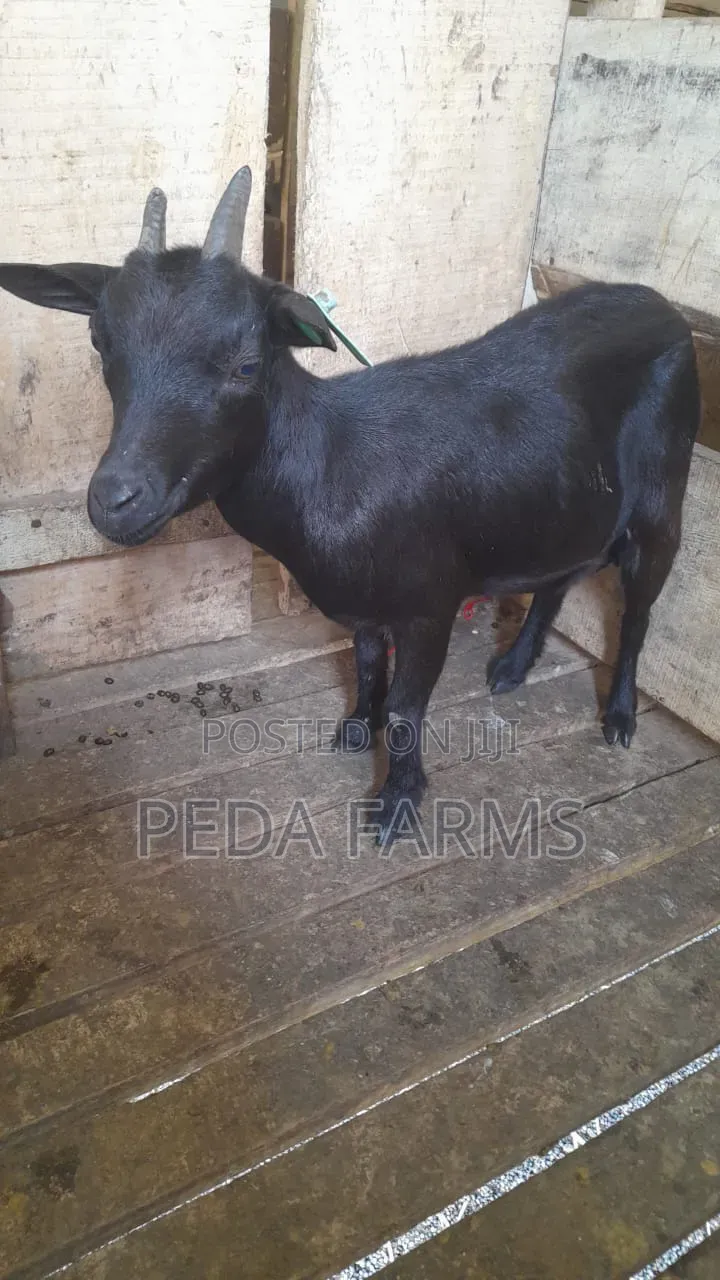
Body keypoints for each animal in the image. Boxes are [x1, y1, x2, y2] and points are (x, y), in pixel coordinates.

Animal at [0, 168, 700, 841]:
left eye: (246, 364)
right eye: (100, 343)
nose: (114, 500)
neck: (329, 463)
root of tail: (663, 305)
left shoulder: (429, 601)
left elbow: (409, 707)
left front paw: (397, 802)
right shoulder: (365, 602)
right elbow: (365, 667)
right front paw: (360, 727)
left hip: (664, 495)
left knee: (639, 609)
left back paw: (618, 715)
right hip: (568, 504)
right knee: (560, 575)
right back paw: (512, 666)